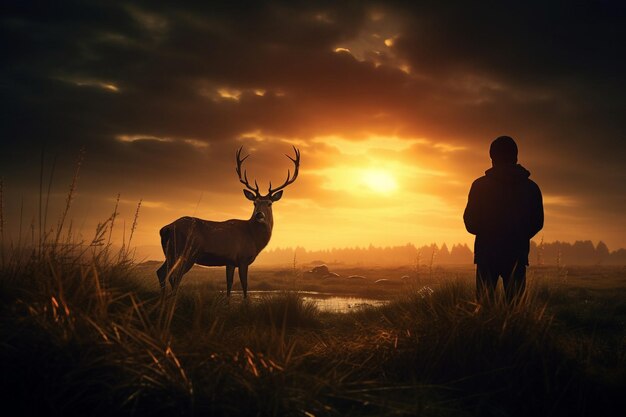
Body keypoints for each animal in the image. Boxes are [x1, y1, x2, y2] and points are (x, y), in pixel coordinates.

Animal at [157, 145, 302, 296]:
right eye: (254, 203)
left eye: (269, 203)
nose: (259, 215)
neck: (253, 238)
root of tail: (166, 228)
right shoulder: (243, 258)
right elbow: (244, 285)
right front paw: (245, 302)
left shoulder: (230, 261)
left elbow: (229, 285)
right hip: (186, 252)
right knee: (174, 276)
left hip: (170, 252)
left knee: (162, 273)